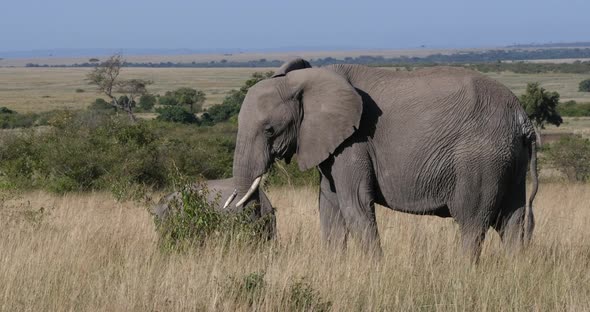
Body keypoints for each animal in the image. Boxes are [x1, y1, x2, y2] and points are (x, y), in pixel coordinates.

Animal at [232, 57, 540, 260]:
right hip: (509, 159)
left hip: (481, 159)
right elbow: (329, 205)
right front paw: (333, 266)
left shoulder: (355, 140)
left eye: (269, 130)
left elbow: (355, 203)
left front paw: (373, 269)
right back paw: (515, 269)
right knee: (512, 221)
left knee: (472, 222)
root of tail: (522, 117)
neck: (308, 79)